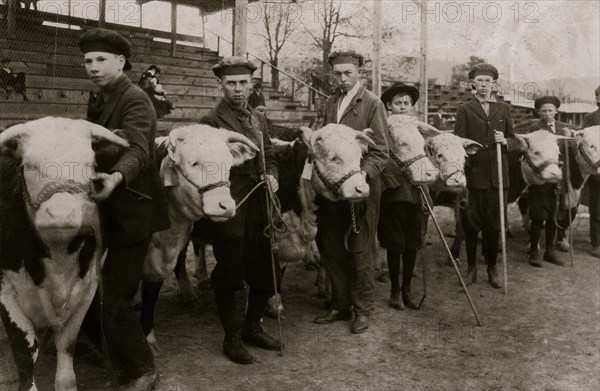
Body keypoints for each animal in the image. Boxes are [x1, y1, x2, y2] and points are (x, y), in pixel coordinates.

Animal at [0, 118, 129, 391]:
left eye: (90, 165)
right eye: (28, 165)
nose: (60, 215)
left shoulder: (88, 287)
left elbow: (67, 346)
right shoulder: (5, 289)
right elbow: (24, 352)